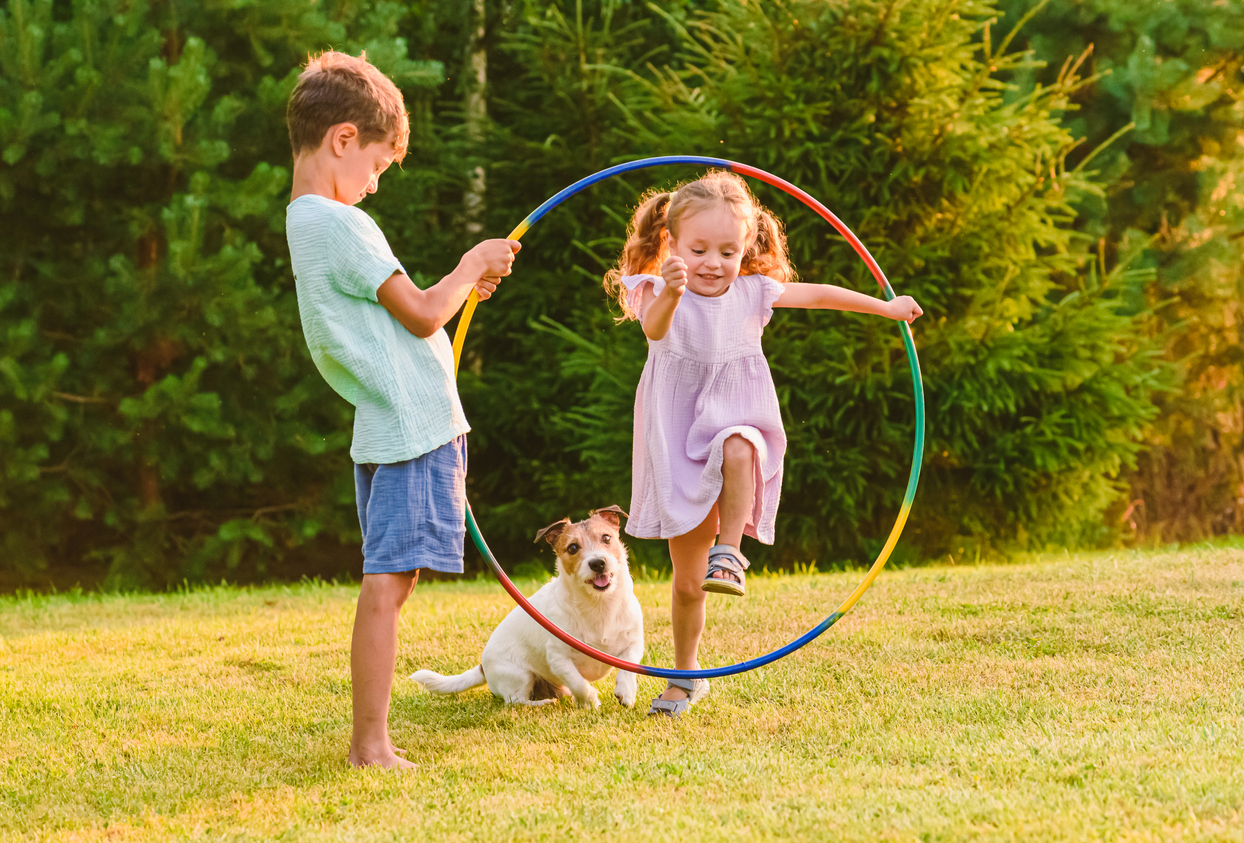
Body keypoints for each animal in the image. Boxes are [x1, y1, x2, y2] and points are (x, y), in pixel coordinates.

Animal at [413, 504, 646, 711]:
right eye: (573, 548)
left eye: (606, 538)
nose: (597, 563)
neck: (599, 604)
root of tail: (482, 667)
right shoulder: (558, 659)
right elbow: (579, 683)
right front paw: (590, 702)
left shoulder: (634, 642)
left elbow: (629, 667)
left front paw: (626, 692)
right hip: (520, 676)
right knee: (516, 701)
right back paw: (543, 703)